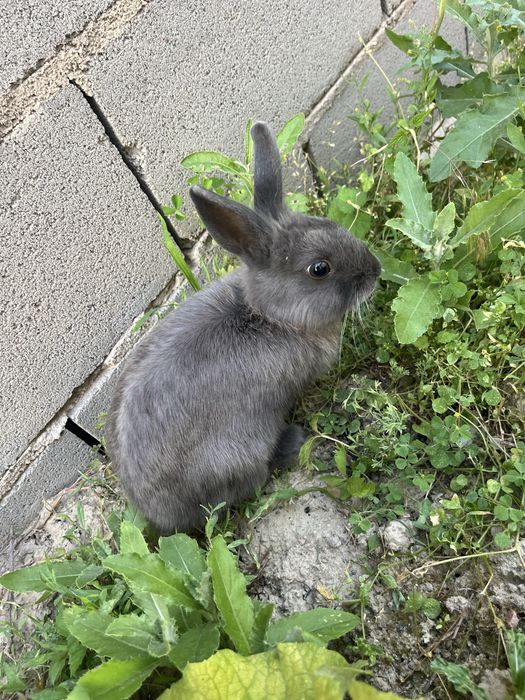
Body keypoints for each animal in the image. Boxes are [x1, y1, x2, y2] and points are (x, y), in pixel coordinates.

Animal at [105, 121, 381, 534]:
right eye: (319, 269)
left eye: (329, 224)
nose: (375, 271)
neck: (269, 316)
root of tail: (163, 517)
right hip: (240, 456)